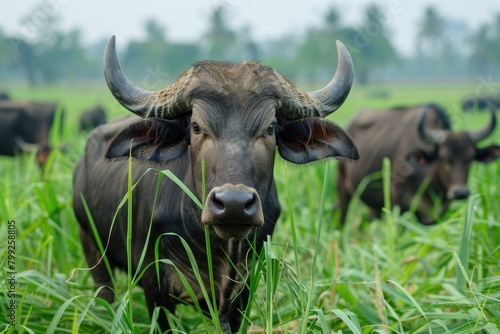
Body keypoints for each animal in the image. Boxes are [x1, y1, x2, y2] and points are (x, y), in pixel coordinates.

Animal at [72, 35, 358, 332]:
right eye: (197, 127)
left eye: (269, 128)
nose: (234, 204)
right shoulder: (155, 287)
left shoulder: (242, 291)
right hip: (92, 249)